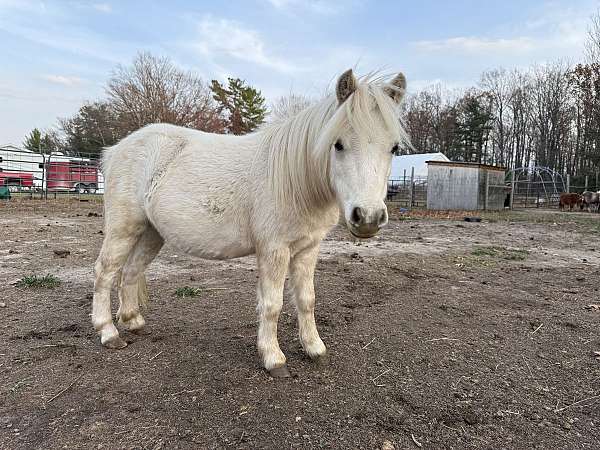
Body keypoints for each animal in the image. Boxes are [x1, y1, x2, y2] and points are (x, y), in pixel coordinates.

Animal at [91, 70, 410, 378]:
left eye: (394, 148)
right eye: (338, 144)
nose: (367, 217)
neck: (295, 179)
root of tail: (115, 150)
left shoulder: (308, 248)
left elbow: (306, 299)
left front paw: (314, 348)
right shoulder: (274, 250)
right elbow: (272, 305)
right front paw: (273, 358)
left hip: (151, 233)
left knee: (131, 271)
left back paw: (133, 321)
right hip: (123, 229)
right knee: (105, 273)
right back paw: (108, 333)